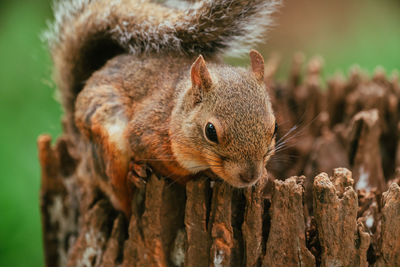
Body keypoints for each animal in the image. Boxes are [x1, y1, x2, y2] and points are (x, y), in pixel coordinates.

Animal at [44, 0, 282, 217]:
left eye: (275, 128)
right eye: (210, 131)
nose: (250, 176)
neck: (175, 110)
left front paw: (265, 178)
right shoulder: (147, 134)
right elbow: (173, 169)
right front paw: (203, 176)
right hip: (108, 143)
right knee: (120, 197)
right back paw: (132, 176)